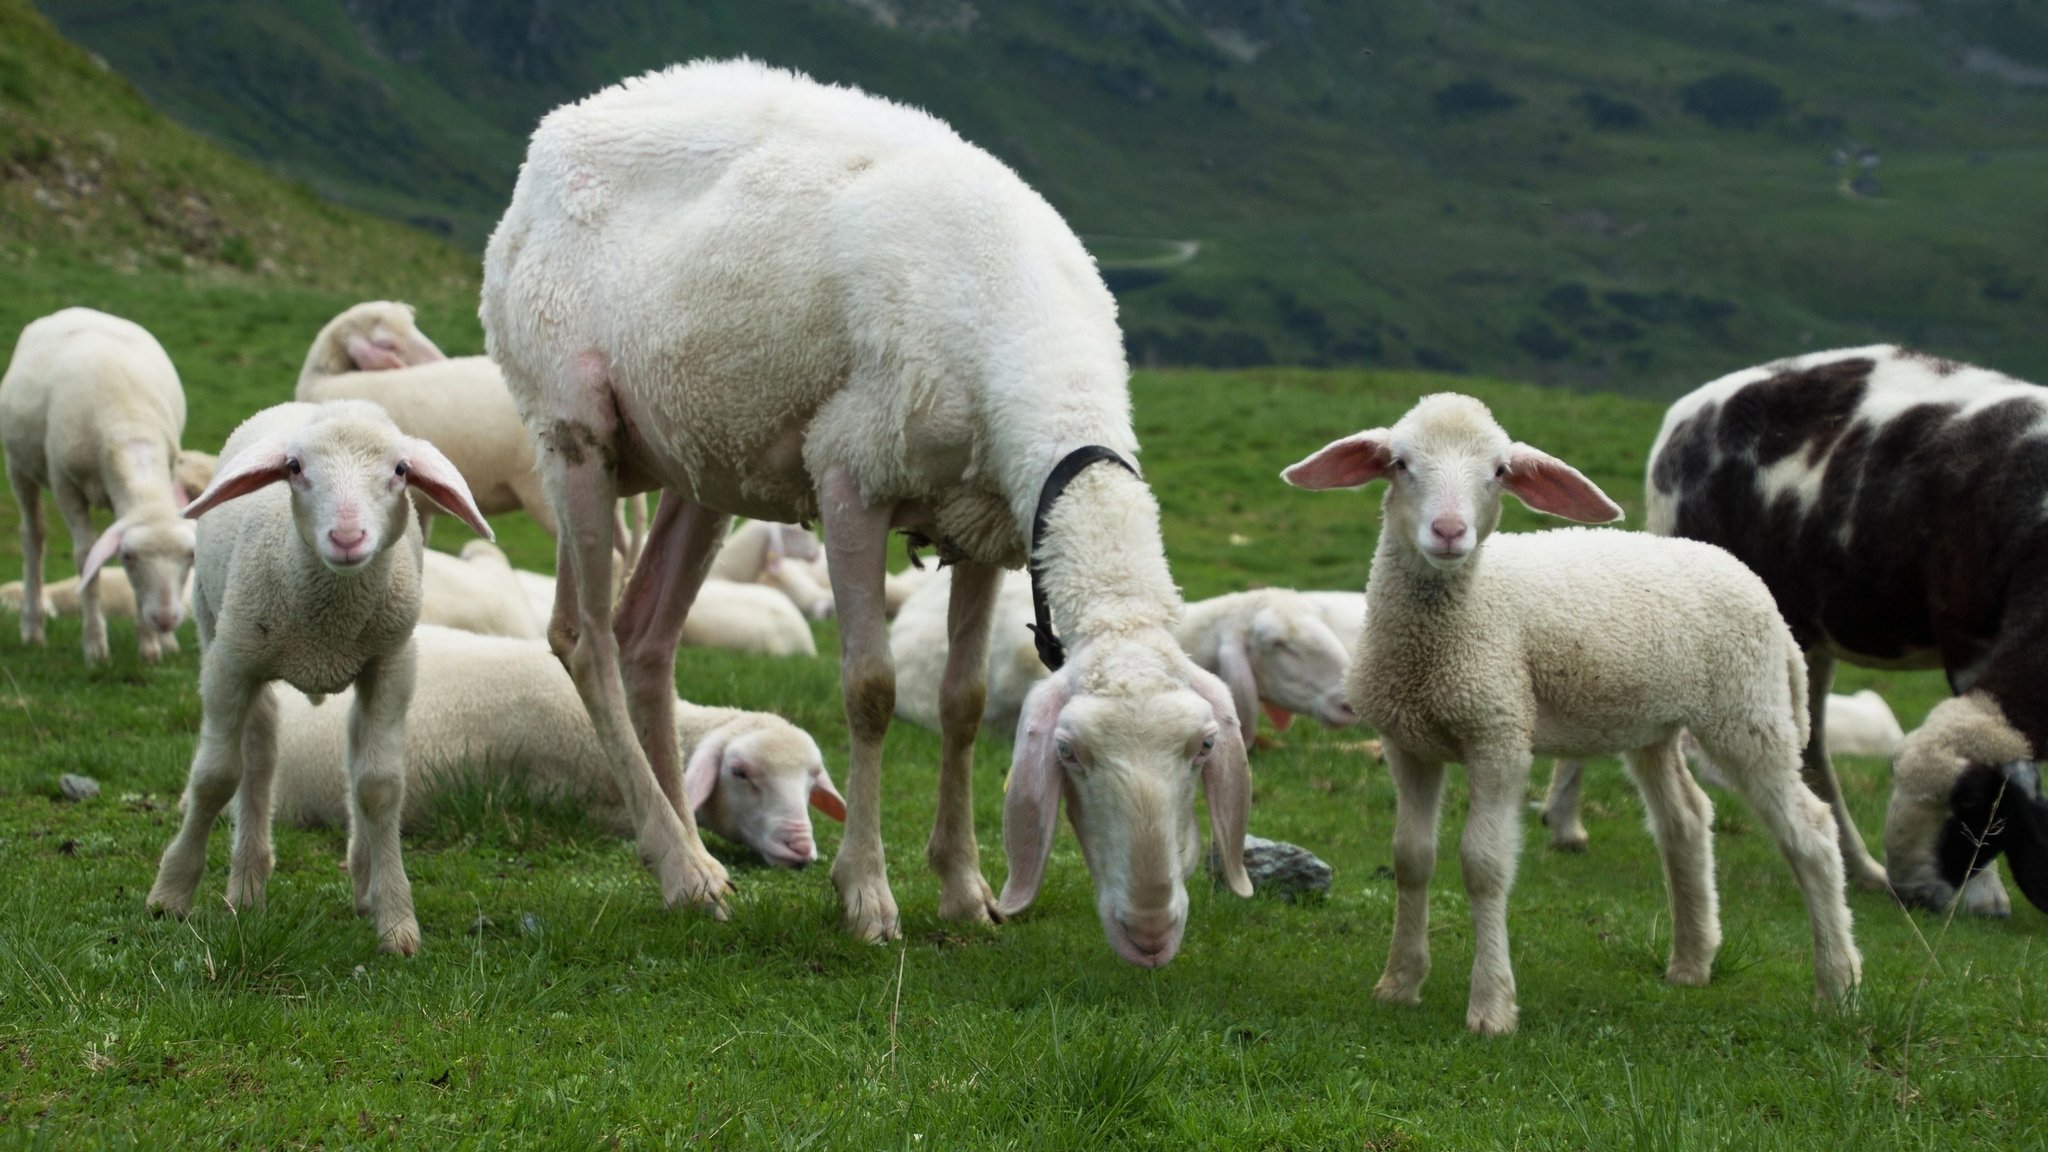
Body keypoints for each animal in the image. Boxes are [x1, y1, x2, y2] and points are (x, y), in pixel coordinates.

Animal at [2, 307, 199, 664]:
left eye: (190, 556)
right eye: (129, 558)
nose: (165, 620)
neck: (128, 424)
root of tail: (77, 310)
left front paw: (151, 646)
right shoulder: (65, 486)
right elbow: (86, 557)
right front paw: (95, 646)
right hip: (18, 466)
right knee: (33, 536)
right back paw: (33, 629)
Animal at [145, 399, 491, 955]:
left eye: (401, 470)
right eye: (294, 468)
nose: (347, 537)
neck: (328, 624)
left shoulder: (393, 665)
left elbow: (380, 786)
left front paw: (397, 920)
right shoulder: (229, 665)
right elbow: (215, 776)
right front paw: (171, 893)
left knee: (351, 755)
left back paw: (362, 881)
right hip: (216, 624)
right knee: (258, 756)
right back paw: (247, 888)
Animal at [483, 62, 1245, 959]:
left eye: (1202, 748)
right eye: (1071, 753)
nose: (1152, 932)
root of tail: (557, 131)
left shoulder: (983, 522)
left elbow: (962, 701)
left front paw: (963, 888)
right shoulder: (852, 474)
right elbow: (871, 690)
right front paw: (867, 895)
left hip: (700, 457)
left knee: (646, 636)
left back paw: (696, 856)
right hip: (574, 429)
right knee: (585, 638)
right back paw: (678, 864)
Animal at [1286, 391, 1867, 1033]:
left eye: (1499, 471)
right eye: (1400, 463)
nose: (1449, 531)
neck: (1448, 626)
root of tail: (1745, 577)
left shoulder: (1499, 733)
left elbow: (1483, 866)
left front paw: (1491, 1007)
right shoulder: (1407, 742)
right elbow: (1411, 859)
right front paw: (1398, 983)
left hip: (1747, 711)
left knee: (1811, 831)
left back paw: (1838, 985)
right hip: (1654, 723)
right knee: (1686, 818)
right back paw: (1692, 962)